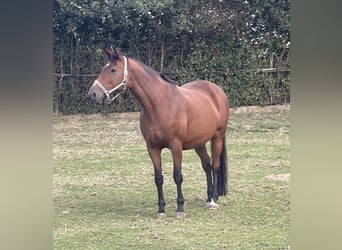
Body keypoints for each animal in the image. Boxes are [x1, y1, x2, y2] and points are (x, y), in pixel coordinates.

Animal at [87, 47, 230, 219]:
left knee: (214, 166)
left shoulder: (176, 146)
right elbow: (158, 178)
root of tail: (216, 90)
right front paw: (161, 210)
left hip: (217, 137)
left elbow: (177, 176)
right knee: (207, 165)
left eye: (113, 70)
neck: (159, 104)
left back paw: (213, 201)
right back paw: (208, 198)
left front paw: (180, 209)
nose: (92, 94)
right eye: (104, 68)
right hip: (199, 143)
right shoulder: (152, 148)